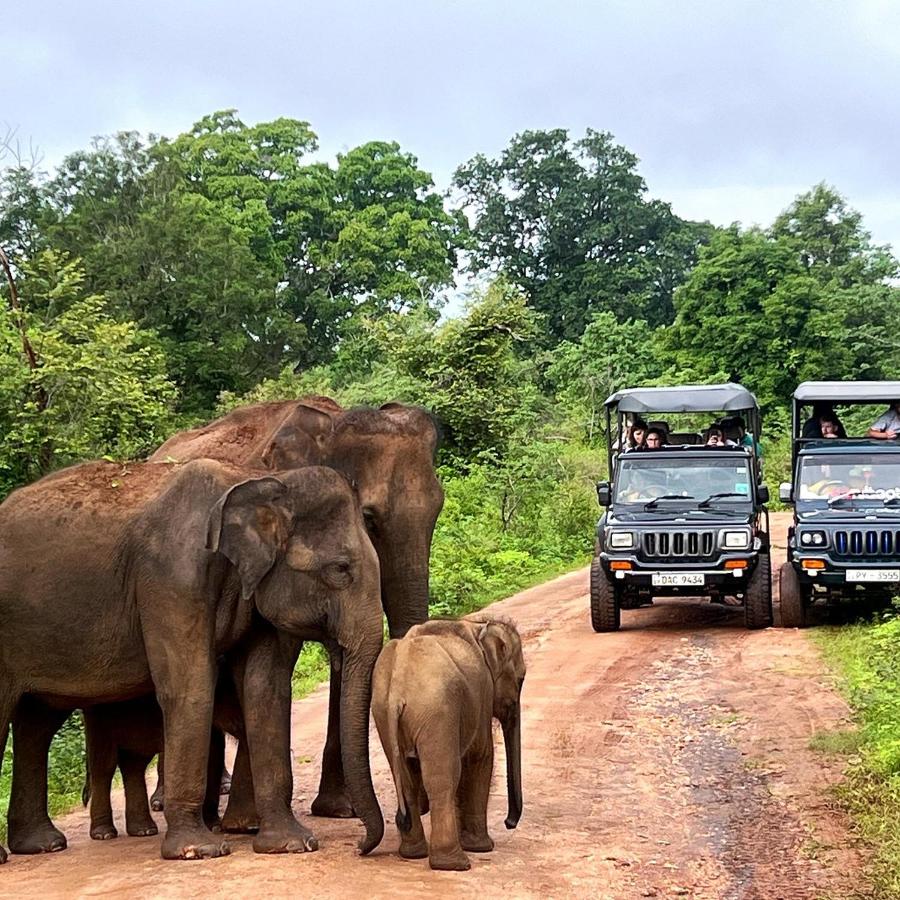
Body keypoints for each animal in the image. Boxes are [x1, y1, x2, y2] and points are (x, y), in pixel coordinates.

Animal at [0, 460, 384, 860]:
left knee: (36, 724)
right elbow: (190, 687)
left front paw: (292, 844)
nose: (358, 846)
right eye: (340, 569)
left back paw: (41, 845)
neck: (252, 481)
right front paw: (199, 850)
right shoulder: (174, 579)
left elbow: (265, 689)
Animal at [147, 400, 442, 824]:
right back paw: (166, 801)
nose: (418, 807)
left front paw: (339, 809)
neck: (330, 424)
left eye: (439, 510)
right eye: (369, 518)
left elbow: (341, 661)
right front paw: (252, 821)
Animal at [372, 616, 528, 868]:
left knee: (407, 779)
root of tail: (397, 689)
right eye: (521, 679)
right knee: (443, 778)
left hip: (383, 713)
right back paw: (454, 864)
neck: (479, 626)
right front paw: (483, 848)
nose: (509, 823)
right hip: (437, 710)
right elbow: (479, 757)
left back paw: (414, 854)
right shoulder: (483, 692)